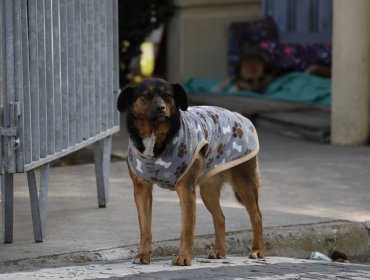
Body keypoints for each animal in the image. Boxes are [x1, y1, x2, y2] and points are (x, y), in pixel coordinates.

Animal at [117, 77, 264, 266]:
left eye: (167, 95)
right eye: (146, 95)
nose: (161, 108)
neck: (155, 135)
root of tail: (242, 117)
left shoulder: (185, 189)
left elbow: (187, 227)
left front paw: (184, 257)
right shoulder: (142, 189)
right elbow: (145, 227)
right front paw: (143, 254)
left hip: (244, 182)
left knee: (256, 216)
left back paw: (257, 250)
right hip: (208, 190)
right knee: (220, 217)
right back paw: (219, 251)